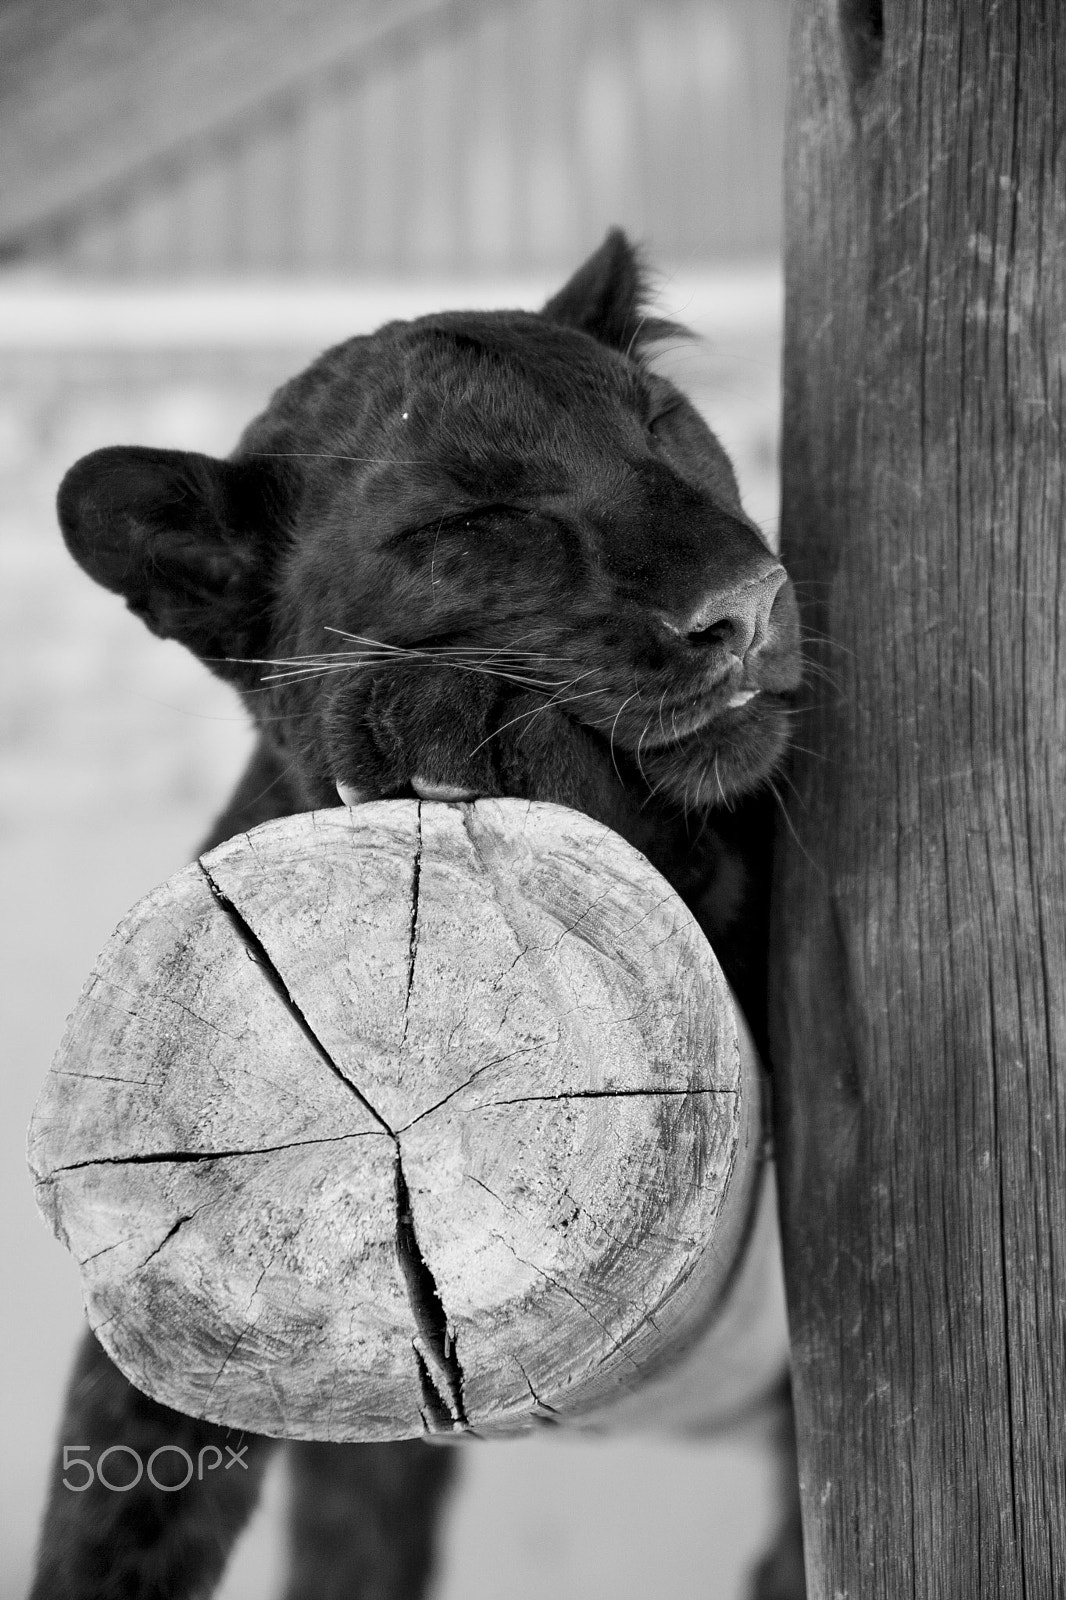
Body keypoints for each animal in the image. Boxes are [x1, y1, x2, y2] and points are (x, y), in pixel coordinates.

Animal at [29, 230, 806, 1600]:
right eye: (475, 521)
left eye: (661, 428)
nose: (745, 597)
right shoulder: (174, 1284)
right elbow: (121, 1507)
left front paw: (457, 726)